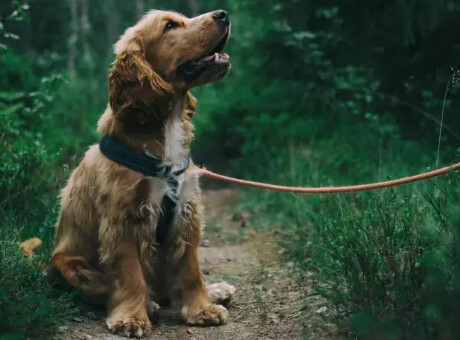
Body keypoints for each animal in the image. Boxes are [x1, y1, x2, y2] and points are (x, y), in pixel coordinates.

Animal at [51, 8, 234, 338]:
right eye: (170, 26)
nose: (223, 14)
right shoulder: (124, 219)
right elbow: (130, 273)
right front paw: (131, 318)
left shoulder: (186, 212)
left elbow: (191, 270)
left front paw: (203, 308)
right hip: (68, 264)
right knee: (104, 287)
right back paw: (148, 303)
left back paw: (216, 290)